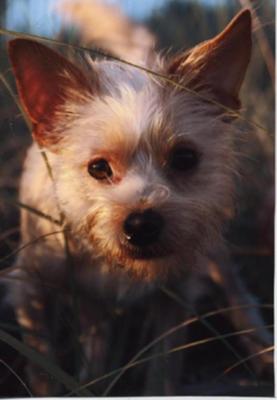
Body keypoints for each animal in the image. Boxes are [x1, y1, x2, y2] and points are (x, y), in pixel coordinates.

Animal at [5, 7, 272, 396]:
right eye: (98, 168)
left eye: (184, 159)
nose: (142, 224)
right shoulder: (31, 289)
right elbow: (43, 369)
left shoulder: (175, 293)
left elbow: (162, 369)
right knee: (97, 333)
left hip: (213, 254)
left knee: (238, 295)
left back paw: (262, 350)